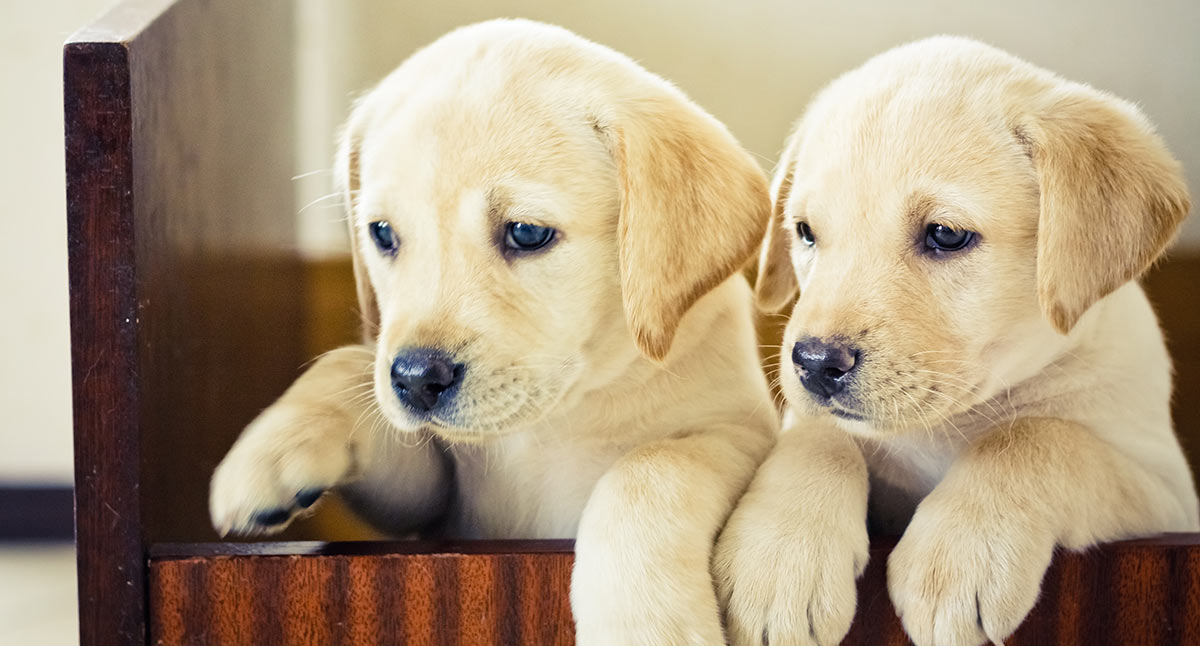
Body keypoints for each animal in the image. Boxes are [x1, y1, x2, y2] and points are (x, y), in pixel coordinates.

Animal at [212, 17, 777, 638]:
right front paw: (272, 446)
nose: (415, 379)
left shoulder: (739, 432)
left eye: (526, 233)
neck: (563, 415)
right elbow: (347, 369)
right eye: (382, 234)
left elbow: (652, 465)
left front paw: (643, 625)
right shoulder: (435, 504)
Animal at [715, 36, 1195, 643]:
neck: (945, 427)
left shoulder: (1167, 493)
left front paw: (960, 555)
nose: (815, 363)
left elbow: (1037, 435)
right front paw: (779, 557)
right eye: (804, 233)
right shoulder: (816, 418)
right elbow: (818, 435)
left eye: (945, 235)